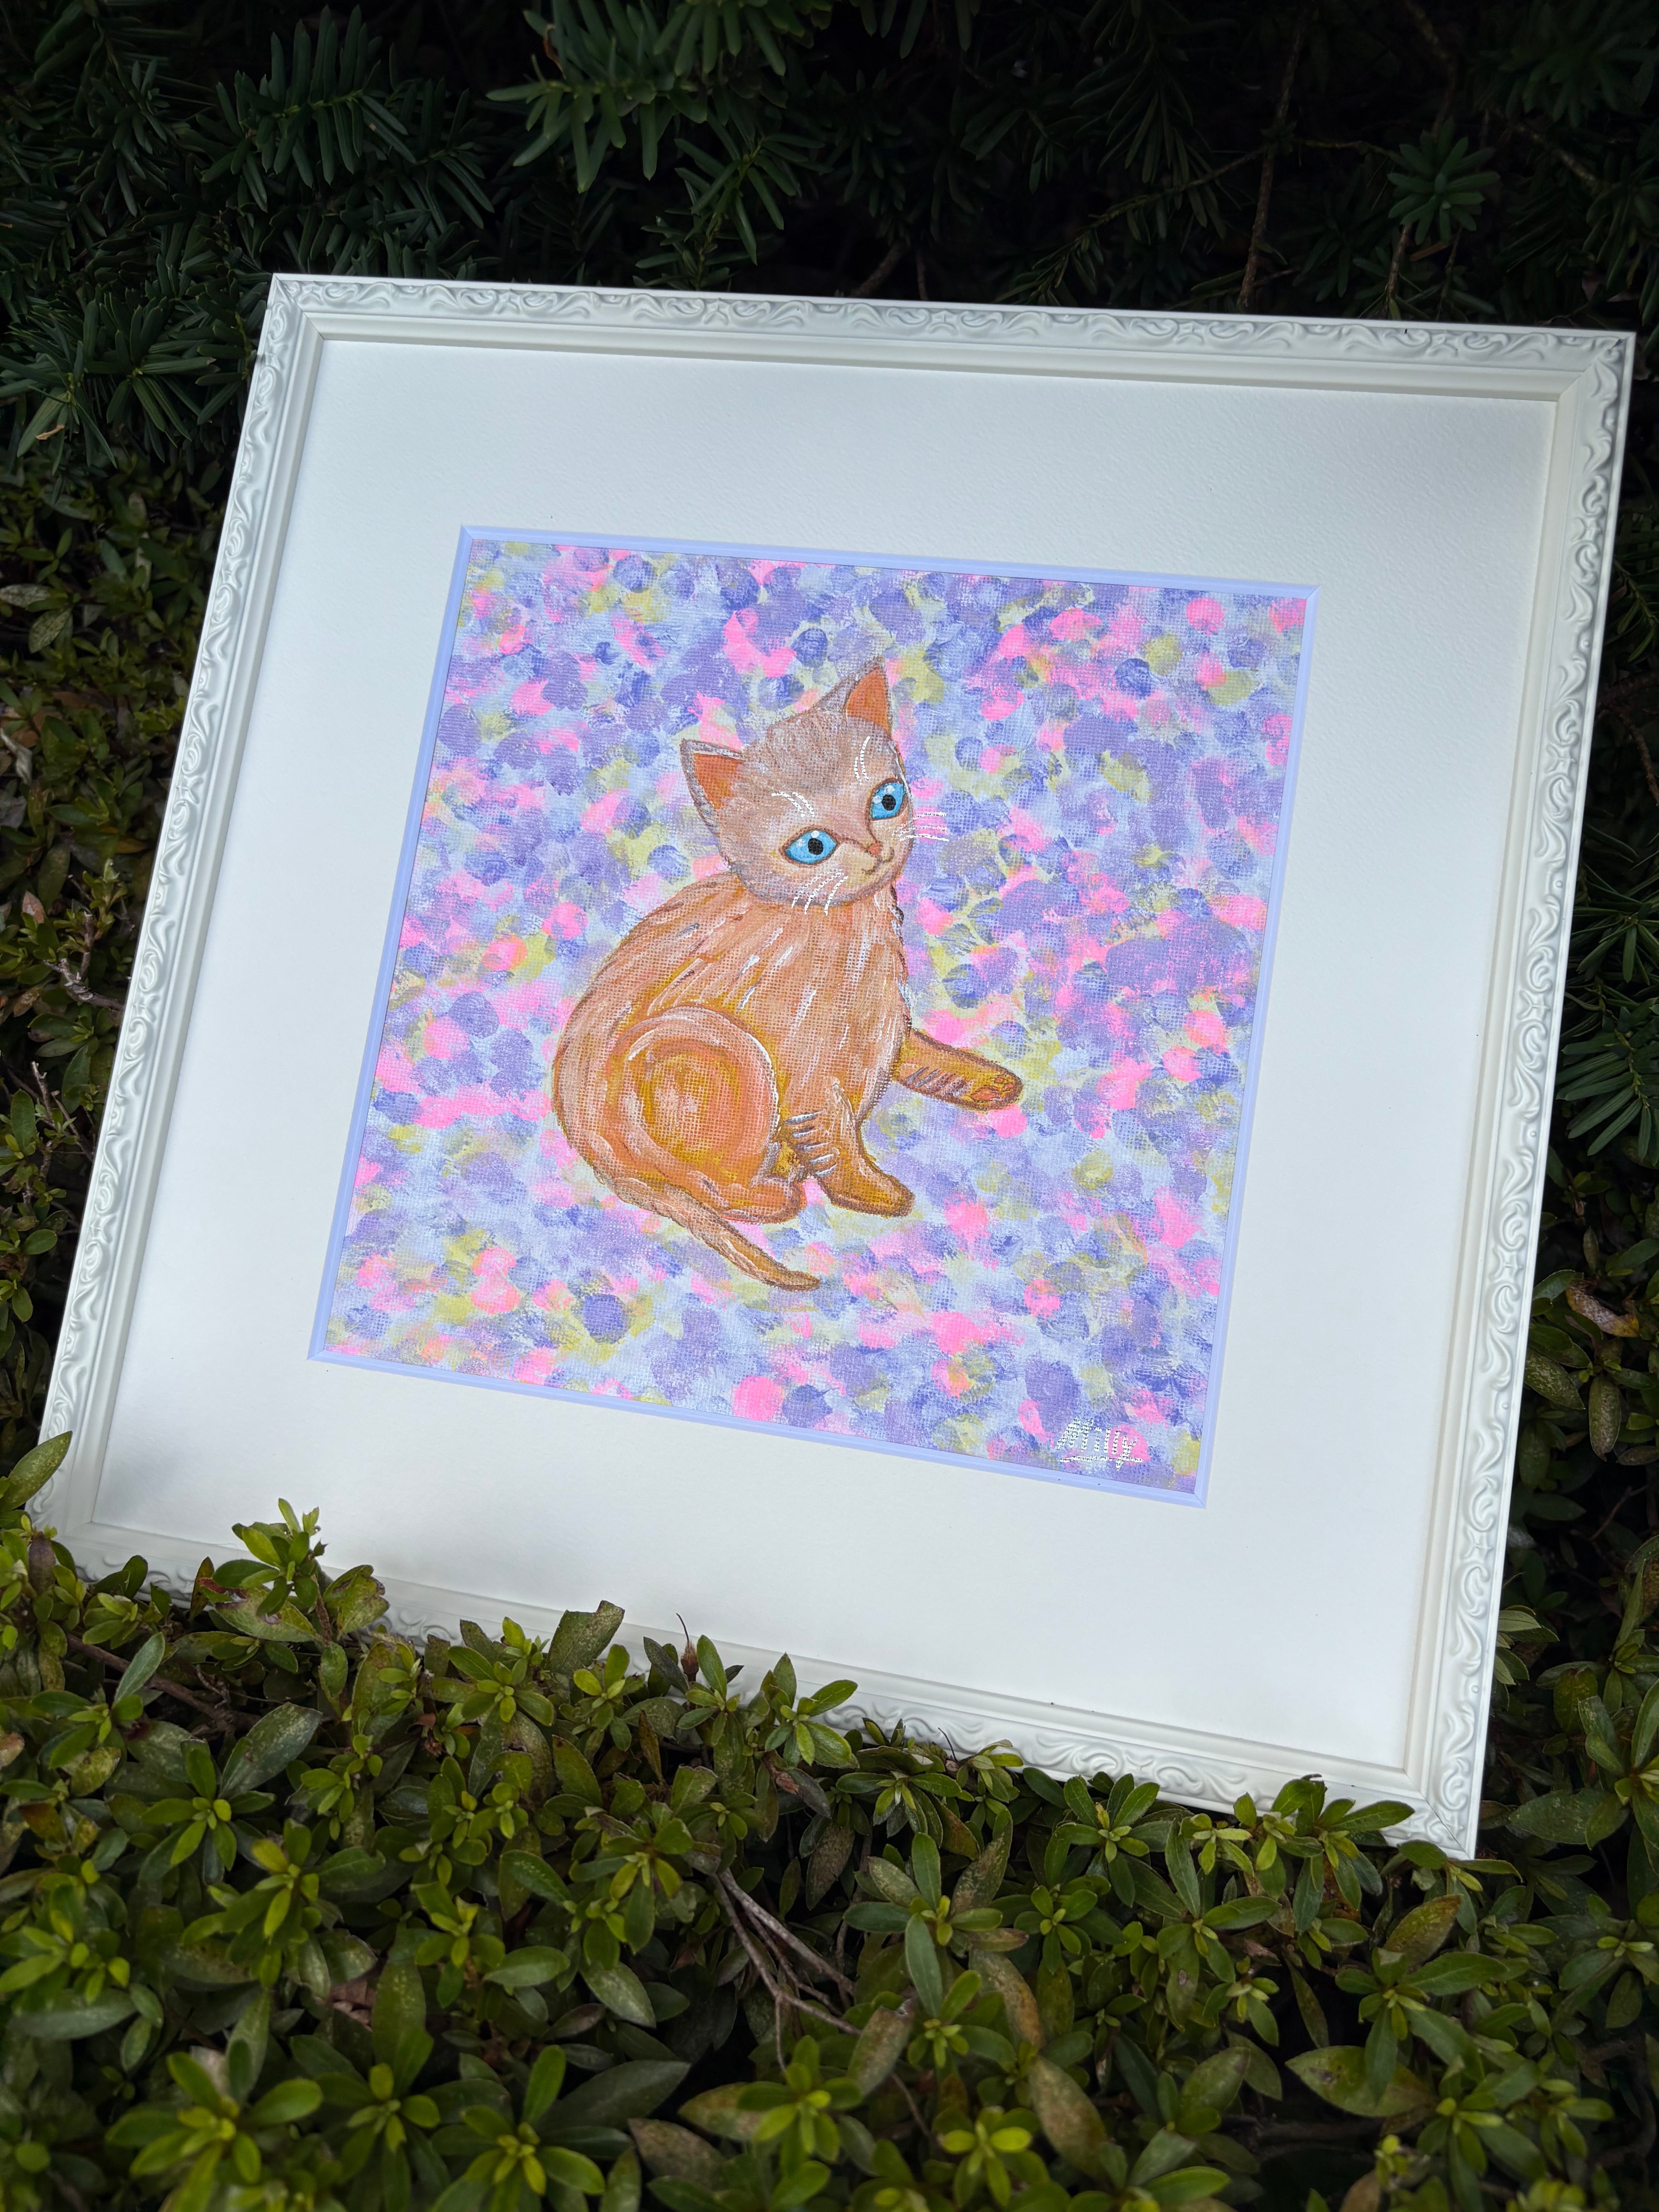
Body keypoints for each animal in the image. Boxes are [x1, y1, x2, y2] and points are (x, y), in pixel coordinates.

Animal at [552, 660, 1023, 1291]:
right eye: (813, 846)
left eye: (887, 800)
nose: (875, 849)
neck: (848, 926)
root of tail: (595, 1152)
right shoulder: (809, 1080)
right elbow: (839, 1144)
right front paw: (875, 1194)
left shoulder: (883, 1030)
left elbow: (924, 1056)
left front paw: (983, 1080)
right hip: (712, 1046)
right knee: (704, 1185)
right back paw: (772, 1193)